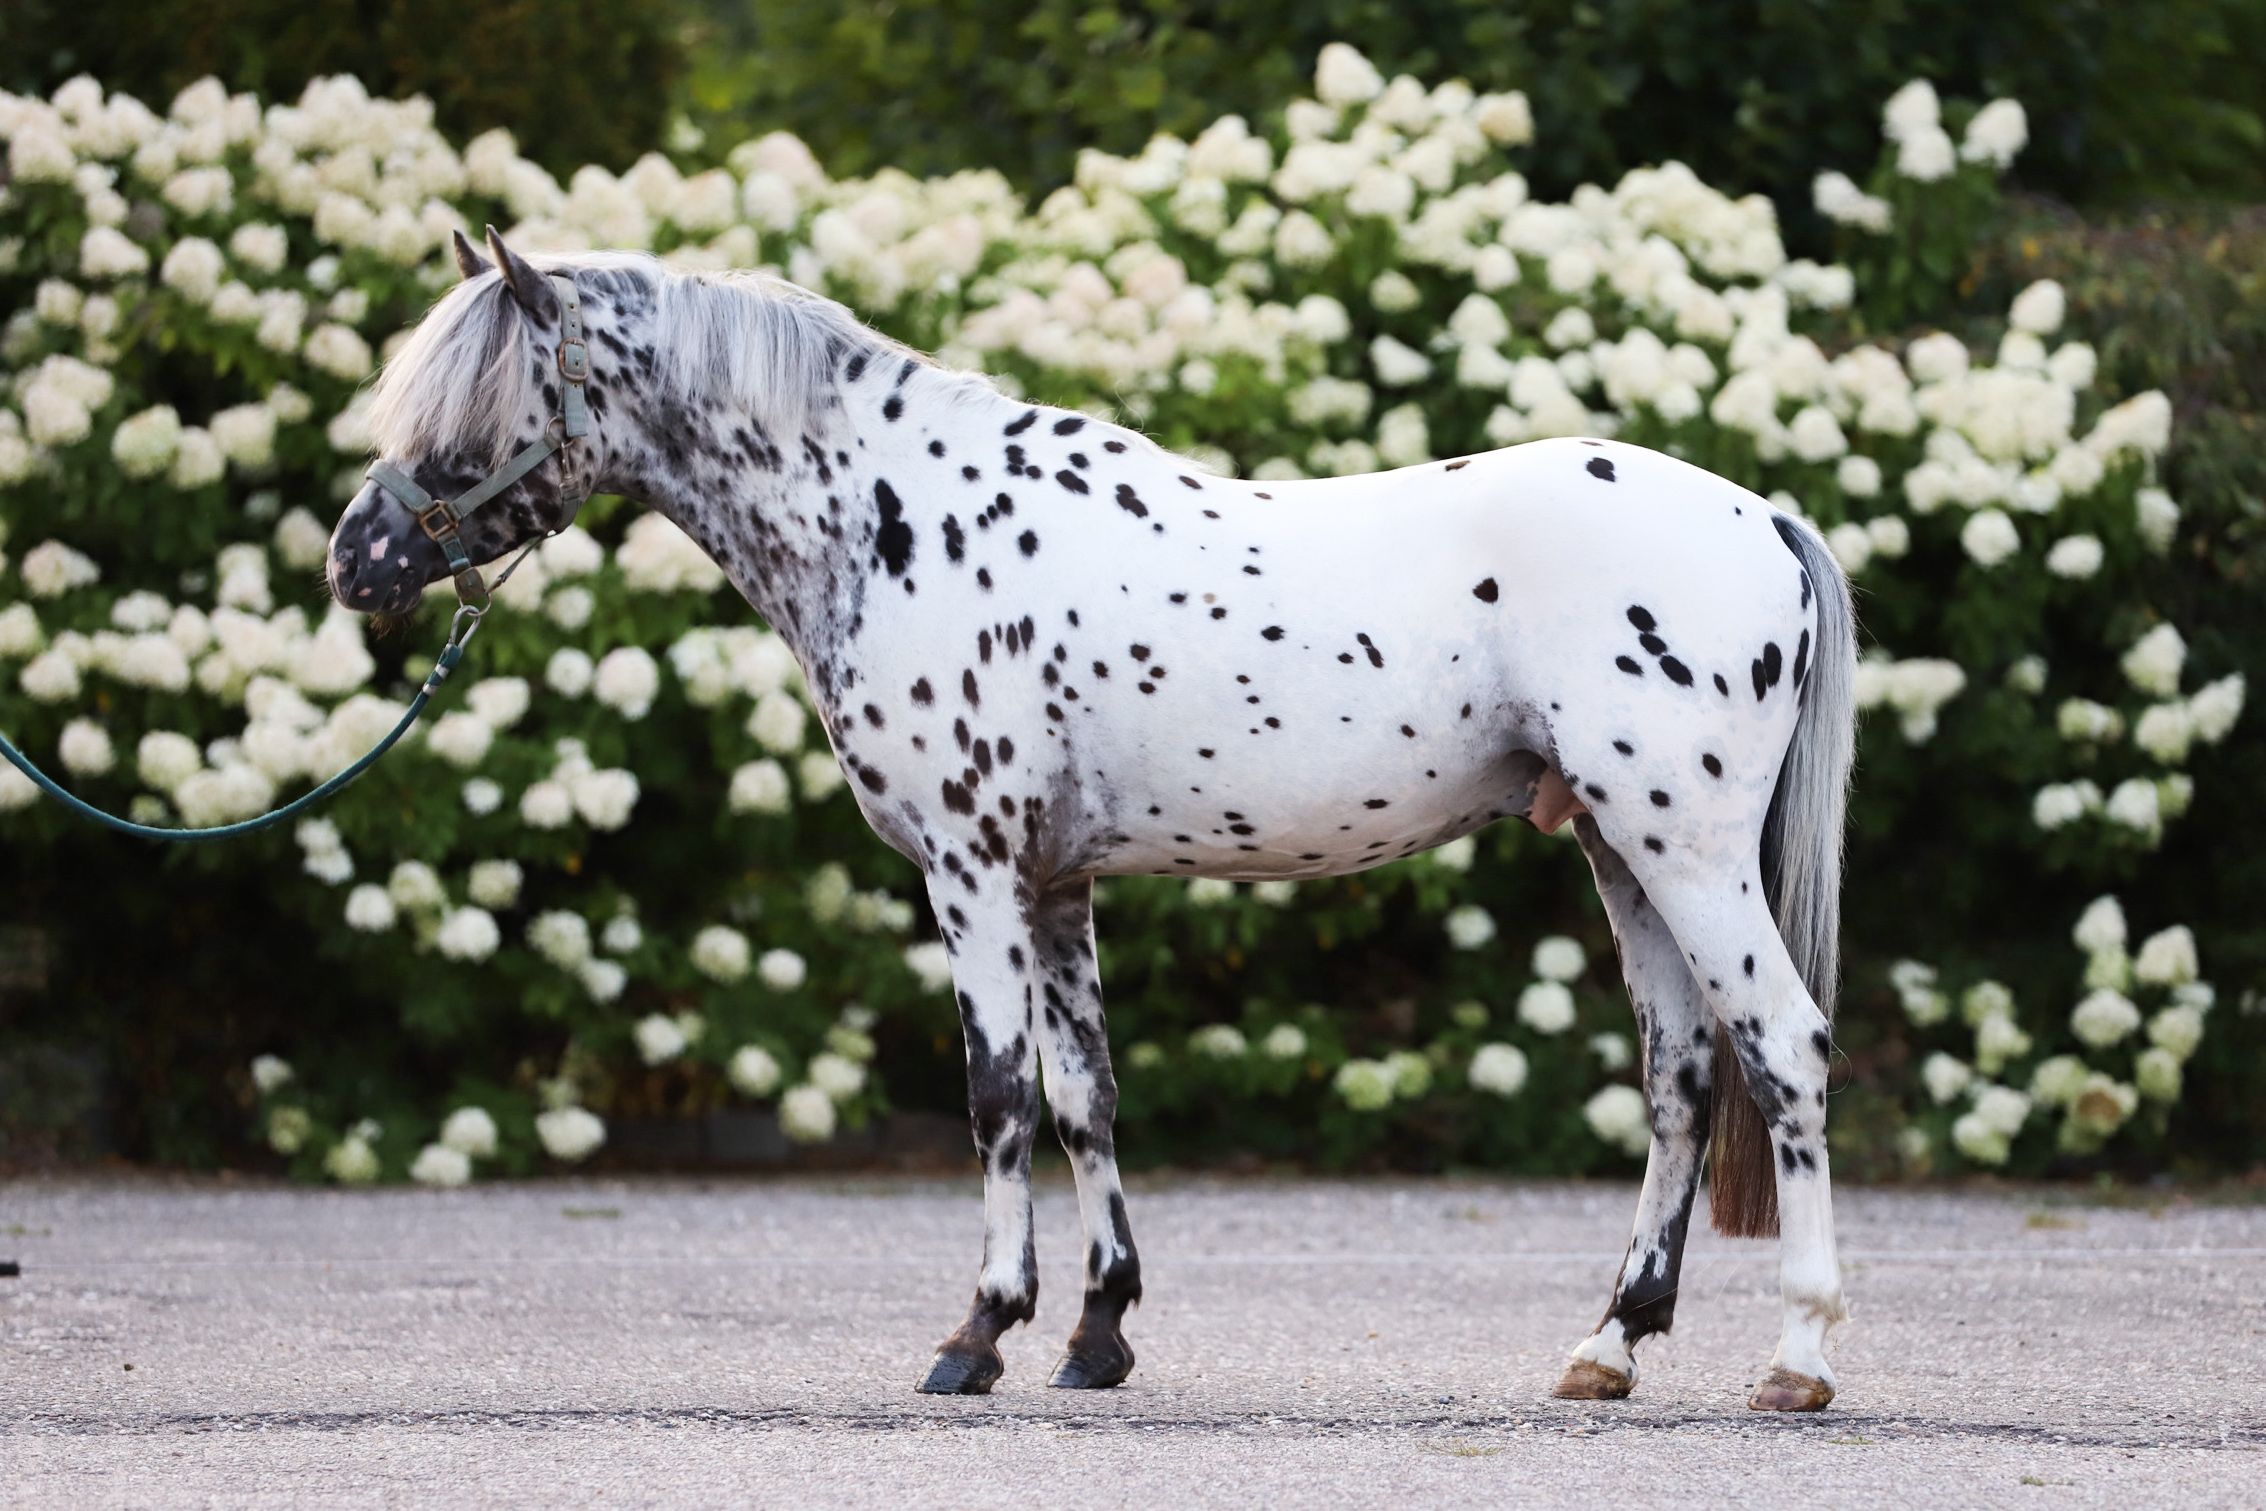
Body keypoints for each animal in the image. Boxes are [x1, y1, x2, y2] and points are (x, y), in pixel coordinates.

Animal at [328, 228, 1858, 1412]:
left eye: (467, 419)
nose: (358, 561)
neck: (893, 520)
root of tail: (1760, 516)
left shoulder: (971, 871)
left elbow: (997, 1094)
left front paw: (977, 1334)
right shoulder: (1054, 884)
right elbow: (1085, 1095)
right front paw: (1097, 1330)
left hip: (1684, 849)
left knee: (1782, 1047)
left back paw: (1796, 1356)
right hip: (1619, 851)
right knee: (1680, 1076)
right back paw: (1607, 1345)